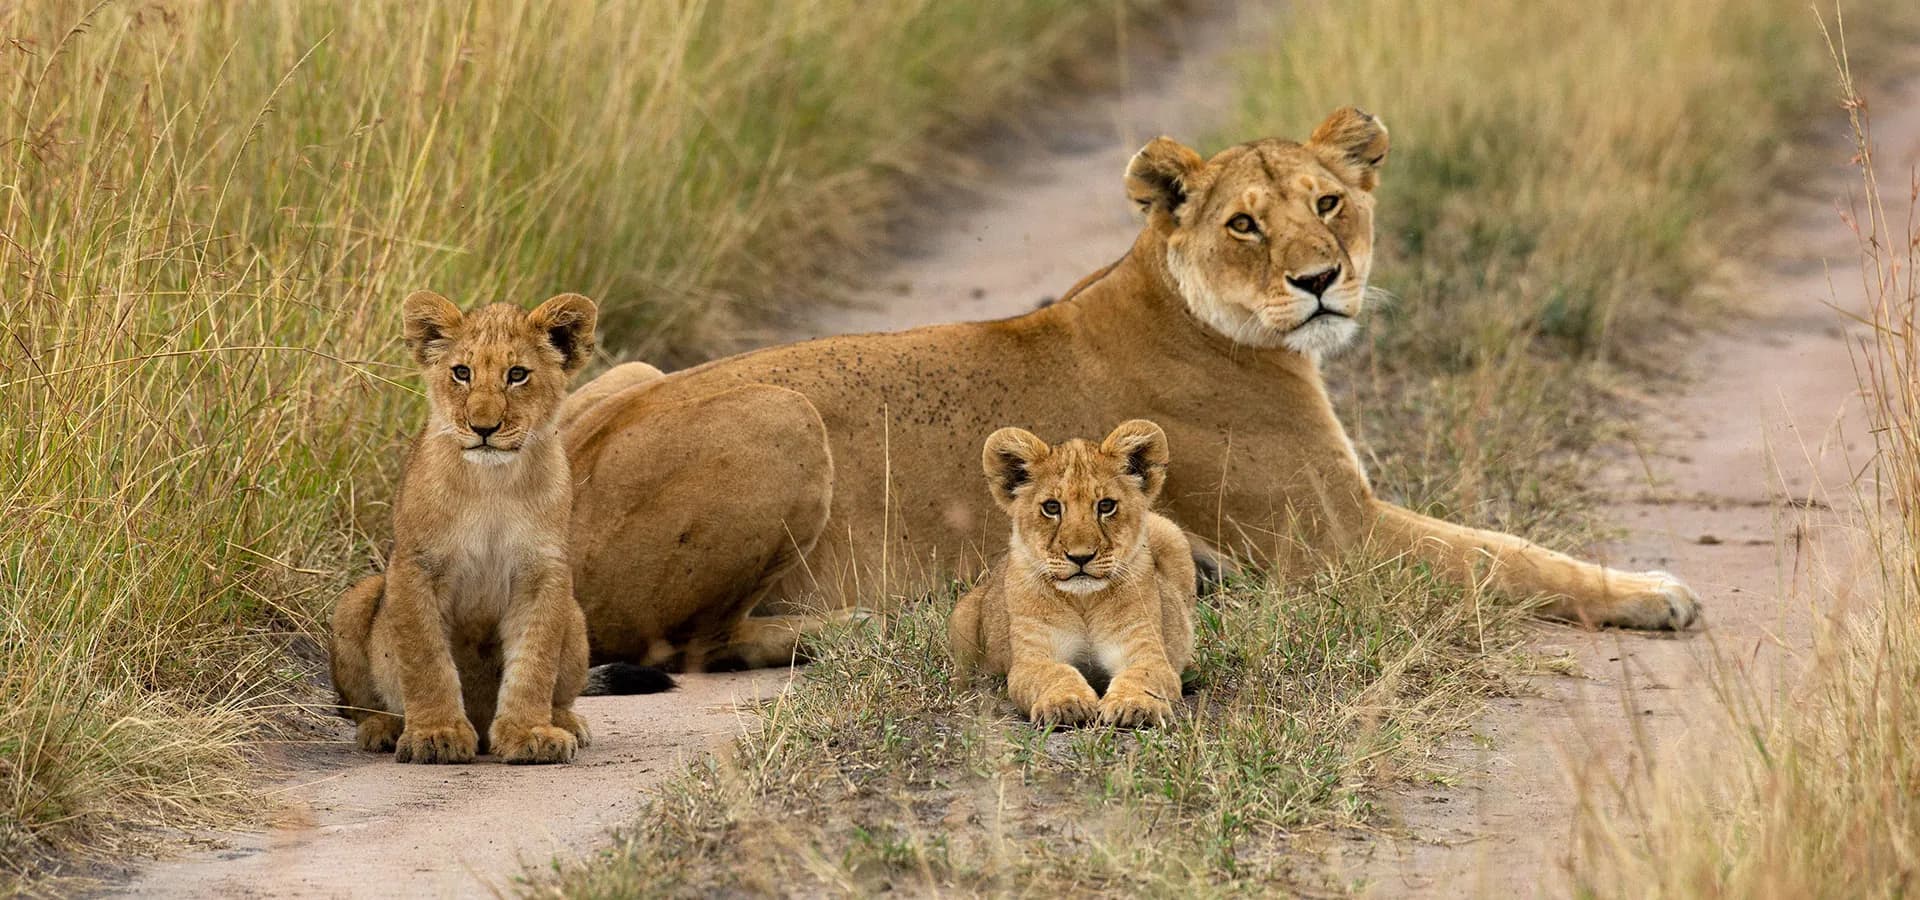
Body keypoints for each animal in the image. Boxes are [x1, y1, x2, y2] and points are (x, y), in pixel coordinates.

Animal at [329, 291, 673, 765]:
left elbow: (533, 661)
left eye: (517, 375)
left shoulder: (543, 573)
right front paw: (436, 735)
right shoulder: (416, 566)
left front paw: (530, 734)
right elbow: (425, 659)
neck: (491, 484)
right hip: (357, 600)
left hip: (574, 614)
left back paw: (565, 722)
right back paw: (384, 728)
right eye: (462, 372)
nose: (483, 427)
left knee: (563, 690)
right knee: (359, 706)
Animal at [559, 106, 1699, 672]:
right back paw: (864, 630)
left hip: (626, 372)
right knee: (685, 643)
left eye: (1329, 202)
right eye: (1245, 223)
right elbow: (1506, 555)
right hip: (782, 412)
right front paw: (1656, 591)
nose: (1320, 280)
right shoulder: (1336, 543)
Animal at [949, 420, 1197, 728]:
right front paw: (1065, 703)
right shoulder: (1032, 658)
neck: (1083, 600)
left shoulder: (1146, 650)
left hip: (1168, 531)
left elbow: (1144, 675)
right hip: (962, 621)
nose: (1080, 557)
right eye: (1052, 507)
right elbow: (1054, 673)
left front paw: (1133, 705)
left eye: (1106, 505)